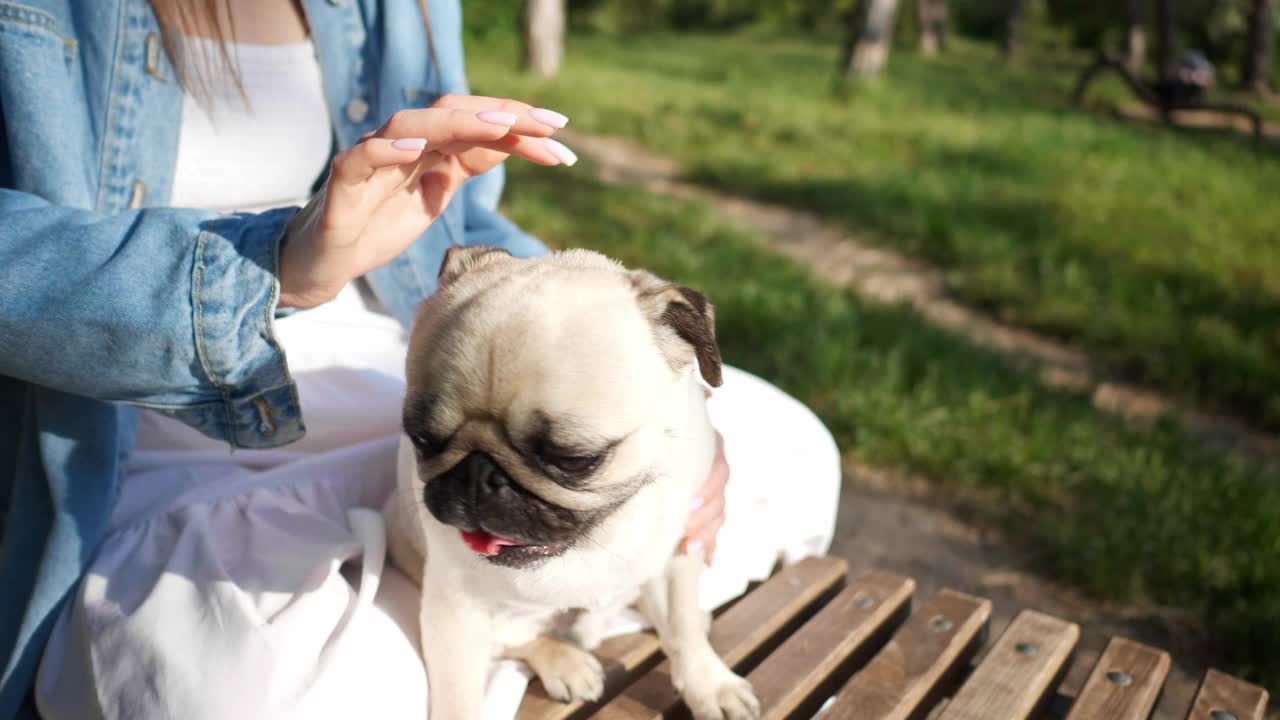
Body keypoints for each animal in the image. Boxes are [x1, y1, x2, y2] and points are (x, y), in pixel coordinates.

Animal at [381, 245, 757, 717]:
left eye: (573, 460)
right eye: (423, 440)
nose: (477, 475)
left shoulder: (679, 553)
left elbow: (683, 626)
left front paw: (709, 684)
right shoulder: (455, 608)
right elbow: (459, 699)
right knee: (516, 641)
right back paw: (565, 662)